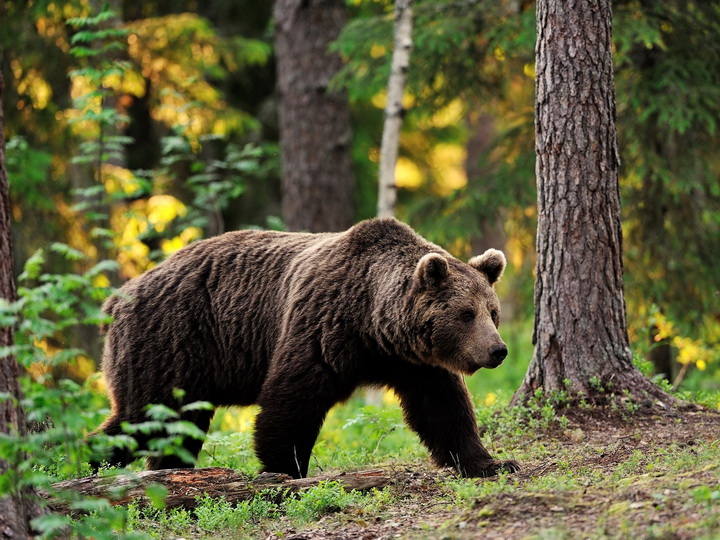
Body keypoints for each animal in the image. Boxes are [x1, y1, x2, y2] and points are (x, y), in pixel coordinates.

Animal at [98, 217, 520, 478]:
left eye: (492, 312)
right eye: (466, 314)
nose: (497, 350)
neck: (373, 323)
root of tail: (118, 298)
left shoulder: (414, 362)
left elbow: (443, 409)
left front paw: (492, 463)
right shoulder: (322, 326)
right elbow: (292, 399)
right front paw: (285, 469)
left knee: (175, 427)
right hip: (172, 342)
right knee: (144, 417)